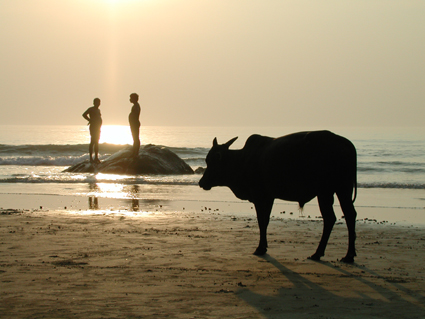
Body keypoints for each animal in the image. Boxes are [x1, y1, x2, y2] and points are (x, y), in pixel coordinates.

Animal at [199, 131, 358, 264]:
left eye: (211, 161)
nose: (201, 182)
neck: (243, 160)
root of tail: (346, 143)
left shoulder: (260, 197)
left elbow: (262, 221)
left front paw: (260, 248)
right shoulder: (269, 198)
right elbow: (266, 221)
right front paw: (263, 246)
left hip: (331, 191)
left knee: (339, 216)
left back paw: (340, 255)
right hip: (336, 191)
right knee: (340, 216)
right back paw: (332, 254)